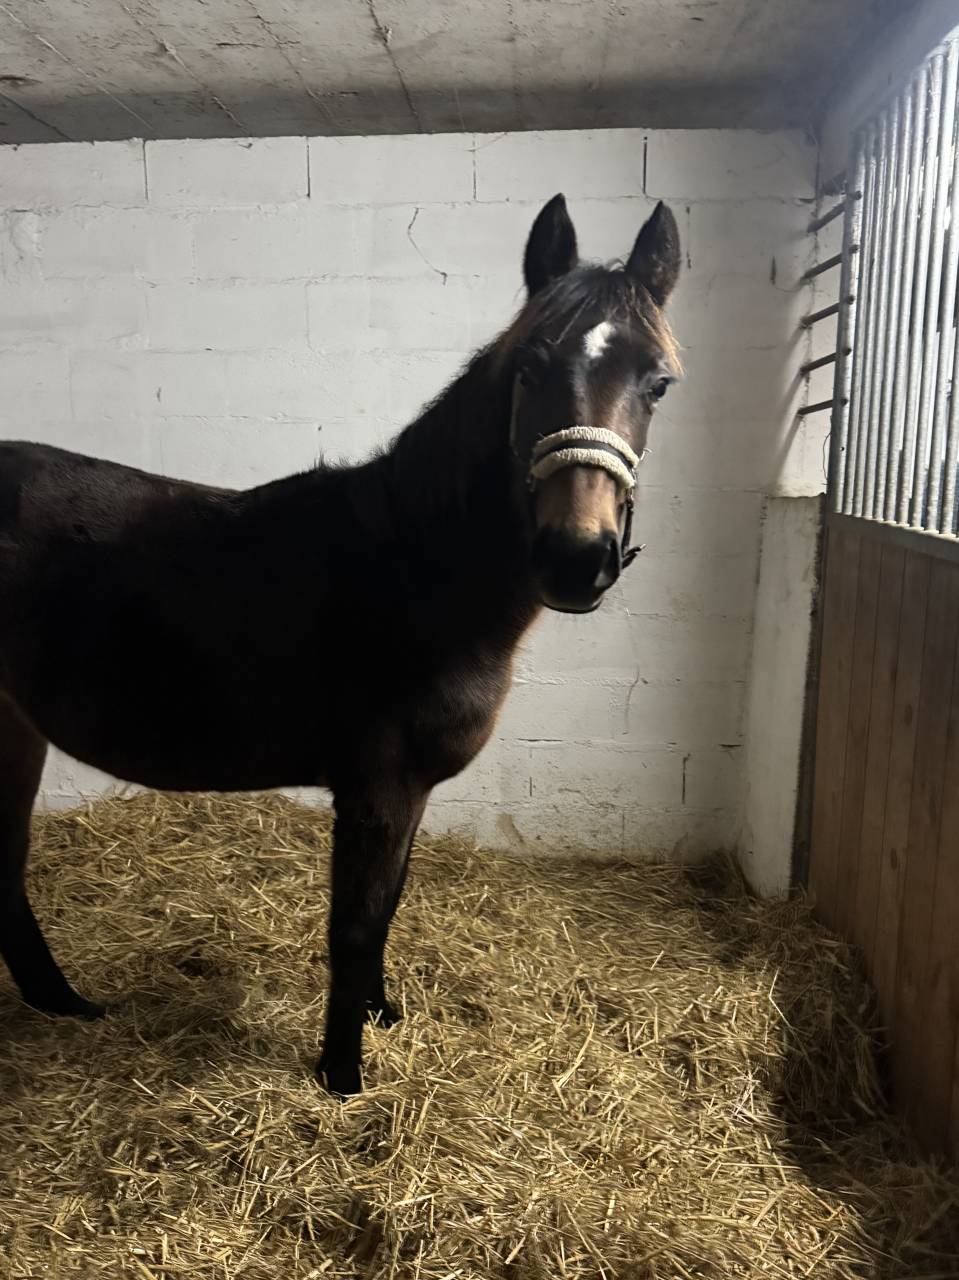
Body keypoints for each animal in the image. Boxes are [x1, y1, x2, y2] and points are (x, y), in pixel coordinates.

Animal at [0, 193, 681, 1095]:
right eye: (530, 368)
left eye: (658, 382)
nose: (575, 558)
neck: (417, 572)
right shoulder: (377, 788)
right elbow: (353, 927)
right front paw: (342, 1077)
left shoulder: (411, 792)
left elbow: (387, 909)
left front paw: (380, 1018)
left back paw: (65, 1005)